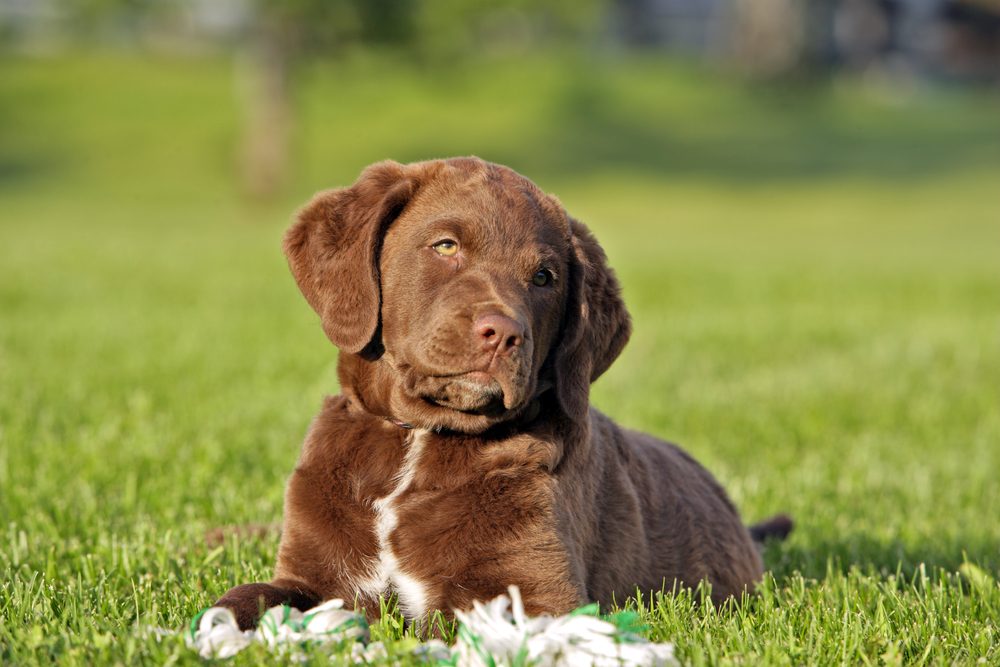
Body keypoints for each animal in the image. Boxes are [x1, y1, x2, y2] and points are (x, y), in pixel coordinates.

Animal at [213, 158, 788, 632]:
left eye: (544, 277)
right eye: (446, 245)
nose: (505, 334)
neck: (419, 440)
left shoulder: (541, 596)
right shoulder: (311, 578)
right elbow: (244, 598)